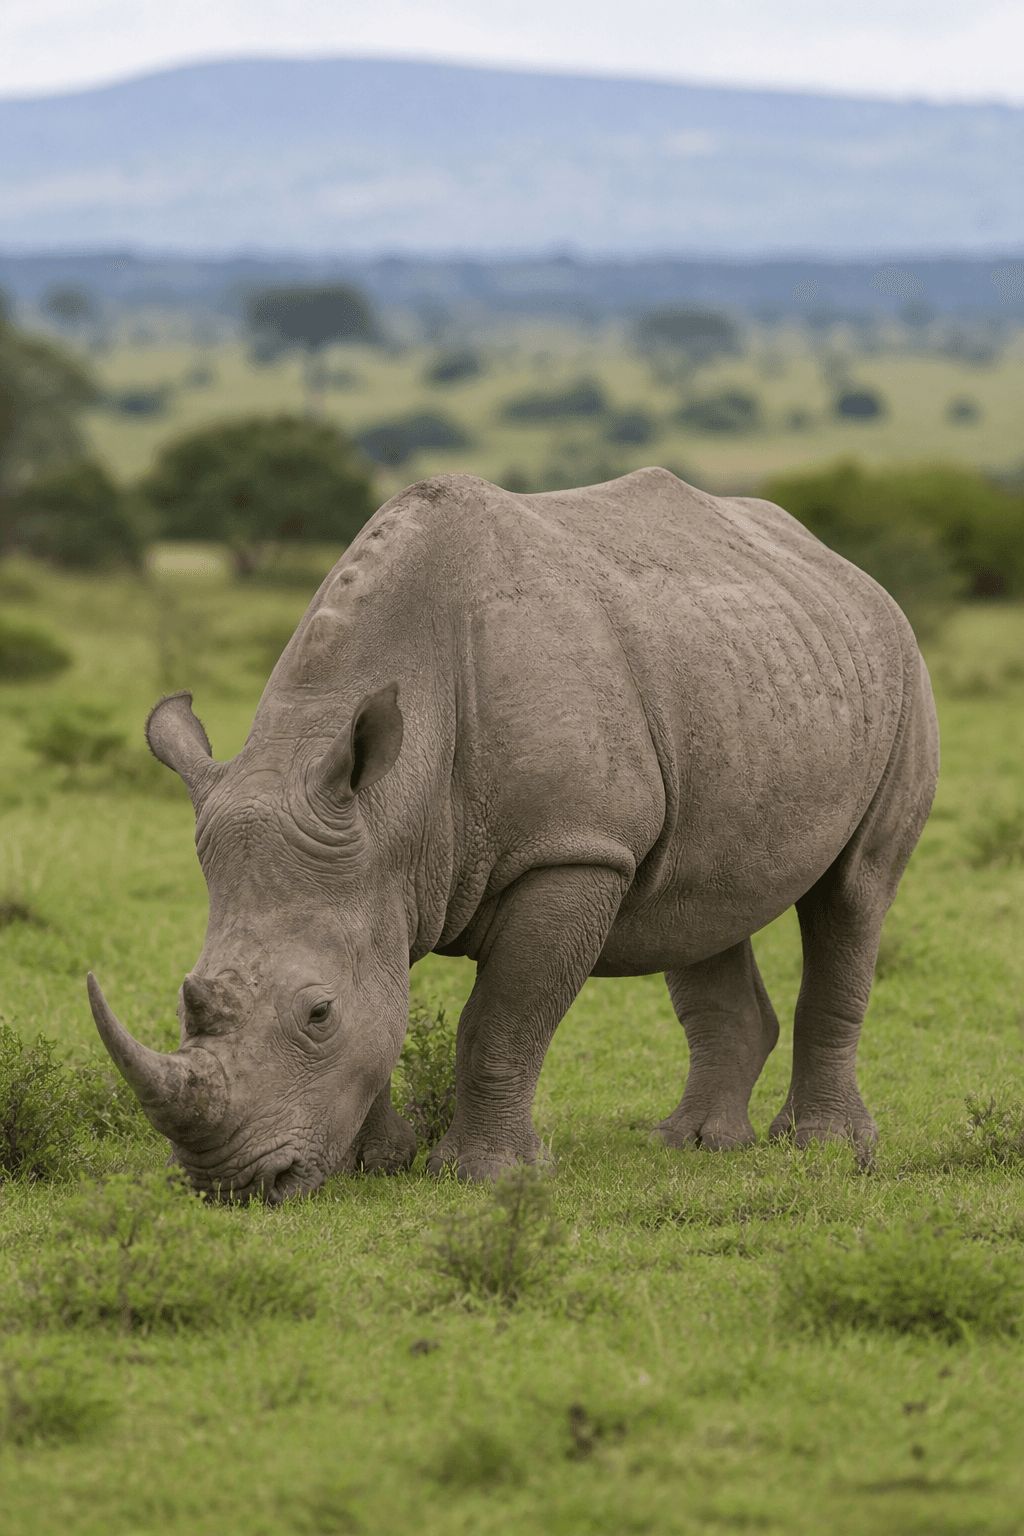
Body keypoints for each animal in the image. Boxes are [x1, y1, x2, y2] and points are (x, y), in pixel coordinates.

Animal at [88, 469, 939, 1199]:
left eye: (317, 1013)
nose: (232, 1186)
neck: (391, 809)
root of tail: (845, 567)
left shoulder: (571, 849)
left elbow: (500, 1021)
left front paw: (486, 1177)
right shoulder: (376, 867)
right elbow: (390, 1007)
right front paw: (374, 1163)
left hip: (900, 667)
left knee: (854, 892)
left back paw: (824, 1147)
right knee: (702, 905)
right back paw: (694, 1144)